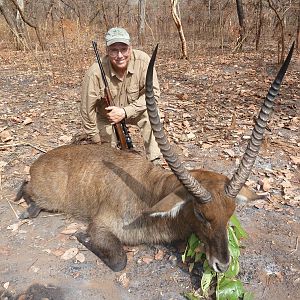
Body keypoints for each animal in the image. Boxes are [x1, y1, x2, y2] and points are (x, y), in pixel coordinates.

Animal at [15, 42, 294, 274]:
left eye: (231, 213)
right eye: (201, 214)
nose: (223, 265)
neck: (152, 191)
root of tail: (38, 163)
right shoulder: (102, 225)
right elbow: (119, 260)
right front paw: (82, 237)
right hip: (49, 198)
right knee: (27, 191)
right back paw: (27, 208)